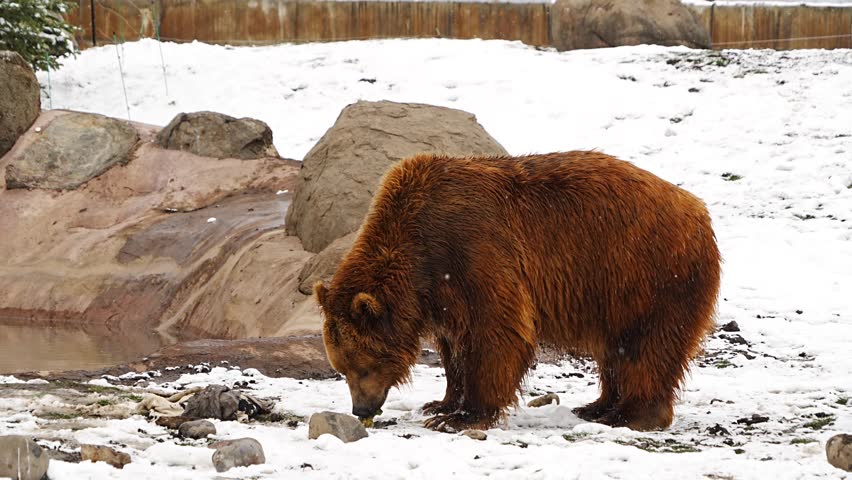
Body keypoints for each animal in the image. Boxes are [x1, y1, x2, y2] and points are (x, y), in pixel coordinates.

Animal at [314, 151, 721, 432]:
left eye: (363, 367)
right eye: (341, 368)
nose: (361, 409)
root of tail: (698, 209)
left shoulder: (474, 250)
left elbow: (497, 332)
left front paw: (462, 416)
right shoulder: (440, 294)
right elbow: (454, 347)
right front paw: (442, 404)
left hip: (648, 274)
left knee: (648, 346)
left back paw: (632, 415)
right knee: (615, 350)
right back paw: (597, 405)